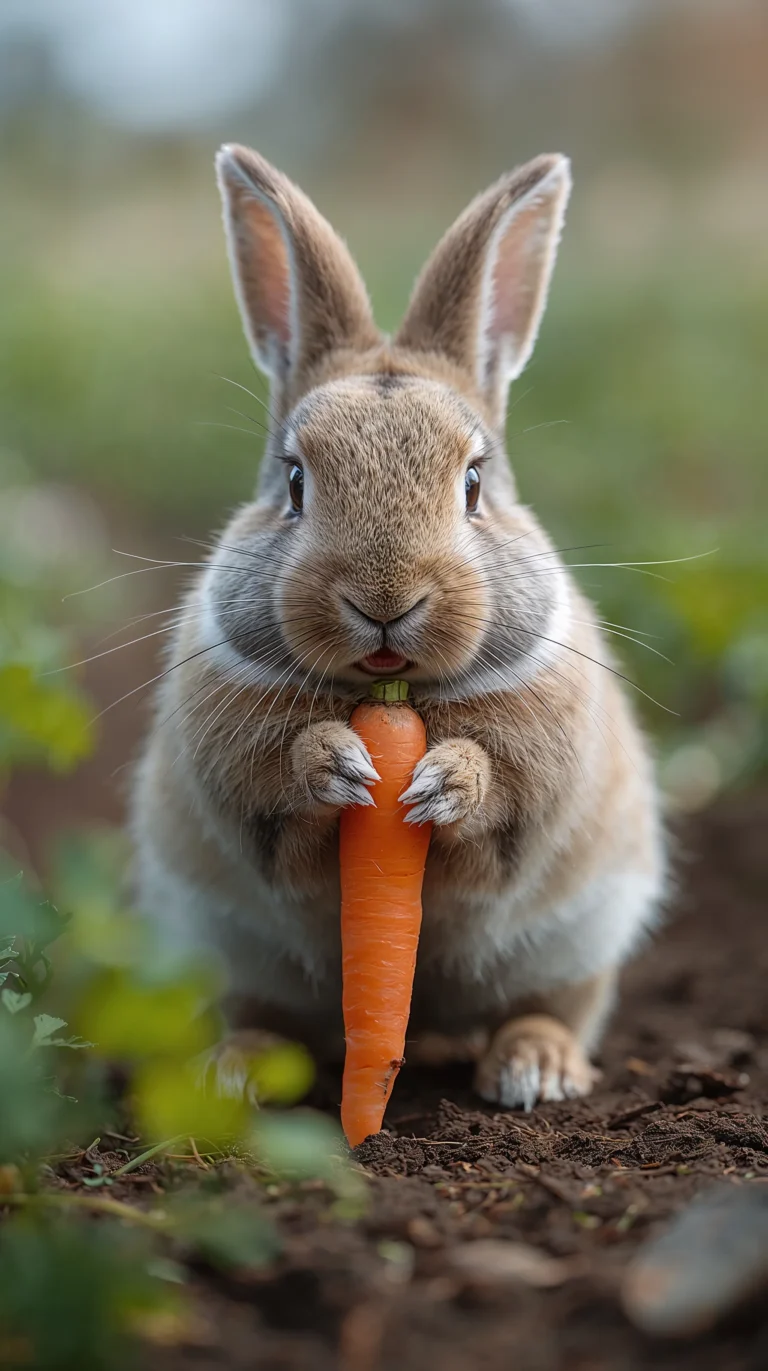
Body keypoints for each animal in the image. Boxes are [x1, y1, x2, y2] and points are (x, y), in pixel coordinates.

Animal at [131, 144, 664, 1113]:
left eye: (475, 484)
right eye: (295, 482)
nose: (386, 600)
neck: (391, 693)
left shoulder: (537, 779)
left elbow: (496, 808)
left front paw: (442, 782)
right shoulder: (239, 776)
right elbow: (280, 802)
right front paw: (339, 765)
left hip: (582, 934)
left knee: (552, 1009)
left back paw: (534, 1069)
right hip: (225, 948)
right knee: (266, 1018)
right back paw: (237, 1073)